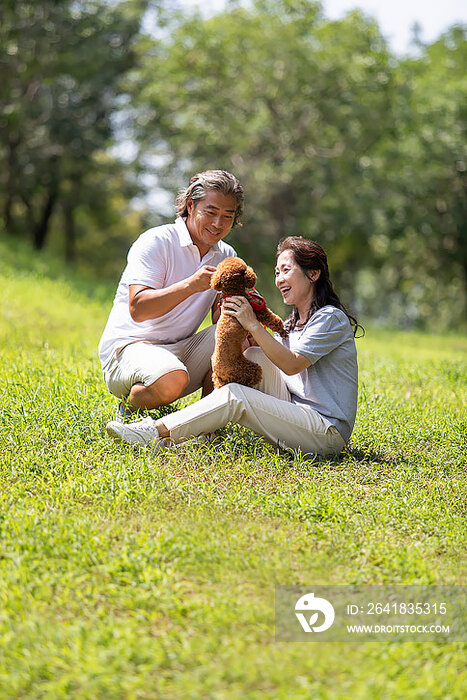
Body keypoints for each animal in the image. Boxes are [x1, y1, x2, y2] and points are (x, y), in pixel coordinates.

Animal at [210, 256, 288, 388]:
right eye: (244, 270)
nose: (252, 273)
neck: (233, 293)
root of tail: (218, 371)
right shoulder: (257, 309)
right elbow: (272, 319)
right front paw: (282, 330)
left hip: (219, 379)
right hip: (247, 369)